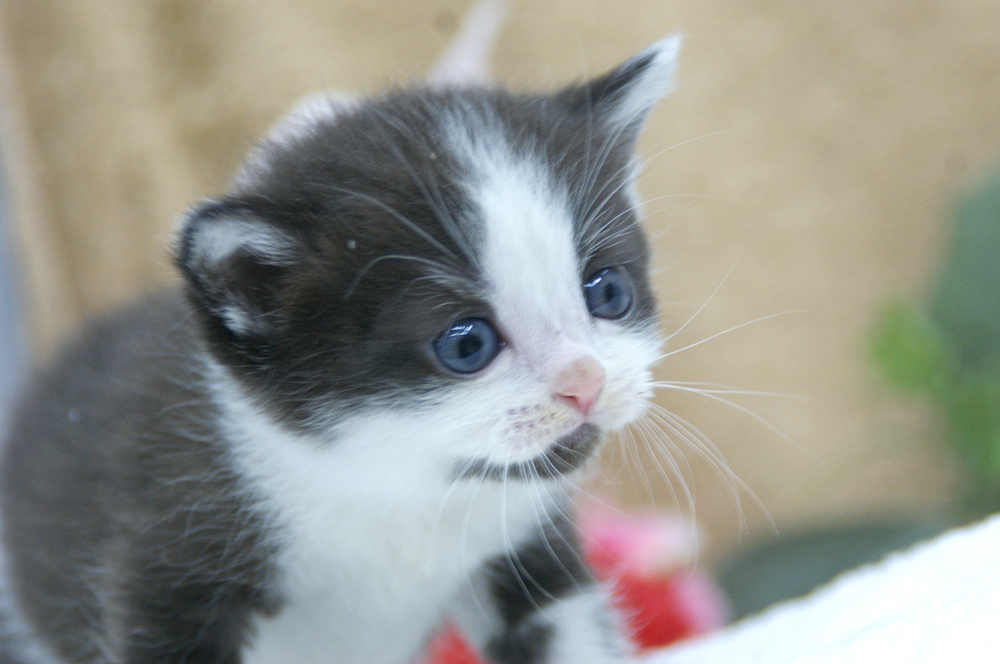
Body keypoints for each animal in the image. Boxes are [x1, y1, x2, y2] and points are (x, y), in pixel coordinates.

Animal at [0, 26, 680, 664]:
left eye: (608, 291)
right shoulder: (170, 553)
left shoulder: (524, 547)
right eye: (466, 345)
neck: (393, 492)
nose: (586, 381)